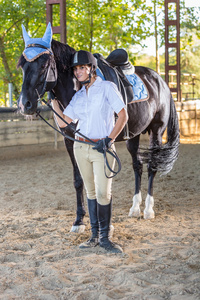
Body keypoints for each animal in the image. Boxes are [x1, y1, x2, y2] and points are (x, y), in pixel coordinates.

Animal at [17, 34, 180, 232]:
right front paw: (79, 221)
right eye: (22, 66)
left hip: (156, 131)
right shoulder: (70, 141)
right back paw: (135, 208)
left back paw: (148, 210)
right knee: (138, 166)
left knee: (152, 166)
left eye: (43, 65)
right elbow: (79, 180)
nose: (25, 104)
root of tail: (160, 80)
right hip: (133, 136)